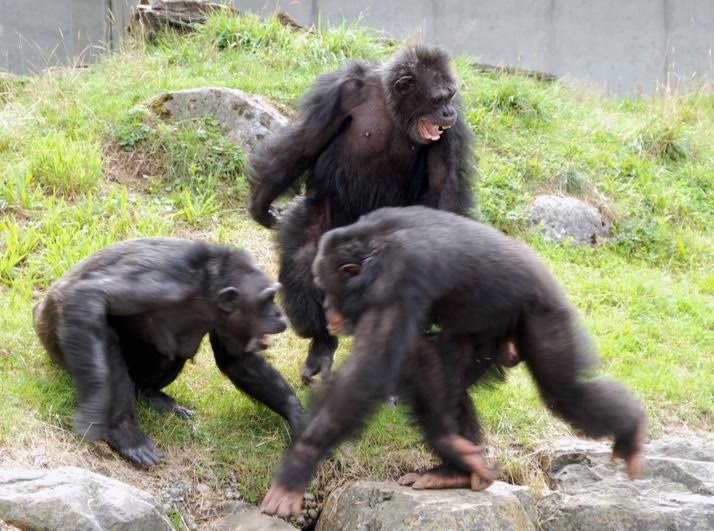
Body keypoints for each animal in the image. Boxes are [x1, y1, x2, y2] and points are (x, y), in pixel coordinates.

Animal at [33, 238, 304, 466]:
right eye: (268, 299)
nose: (279, 313)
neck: (205, 293)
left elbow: (238, 362)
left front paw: (298, 416)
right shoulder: (162, 282)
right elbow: (87, 294)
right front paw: (93, 410)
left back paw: (154, 397)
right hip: (56, 341)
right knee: (105, 336)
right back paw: (125, 434)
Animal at [248, 45, 476, 384]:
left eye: (450, 97)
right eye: (437, 99)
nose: (448, 112)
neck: (393, 110)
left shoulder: (451, 135)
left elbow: (444, 186)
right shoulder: (340, 93)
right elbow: (306, 143)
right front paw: (260, 205)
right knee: (305, 259)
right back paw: (322, 346)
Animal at [262, 209, 644, 520]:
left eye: (327, 287)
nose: (327, 310)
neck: (372, 253)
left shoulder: (396, 281)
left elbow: (368, 374)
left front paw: (297, 467)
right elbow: (415, 355)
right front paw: (448, 442)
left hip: (546, 315)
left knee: (565, 392)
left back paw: (631, 430)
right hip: (485, 334)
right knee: (452, 384)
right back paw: (453, 472)